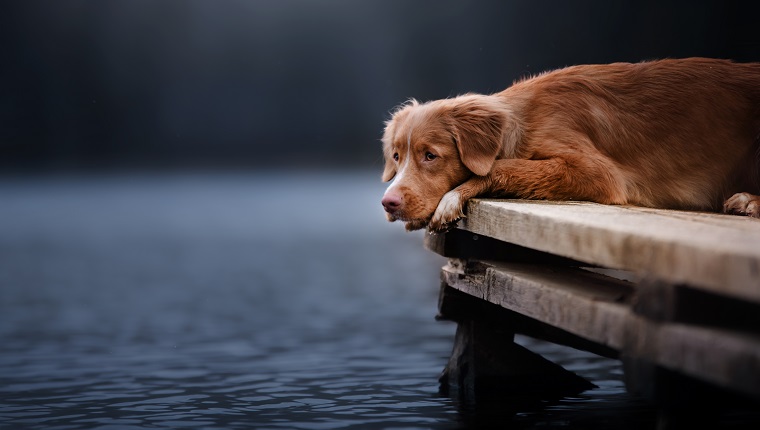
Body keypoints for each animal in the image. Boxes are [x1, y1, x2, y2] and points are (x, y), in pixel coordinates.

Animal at [380, 58, 760, 232]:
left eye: (431, 156)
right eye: (396, 157)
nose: (388, 202)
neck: (524, 122)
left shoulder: (597, 172)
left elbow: (503, 166)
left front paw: (452, 198)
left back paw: (748, 201)